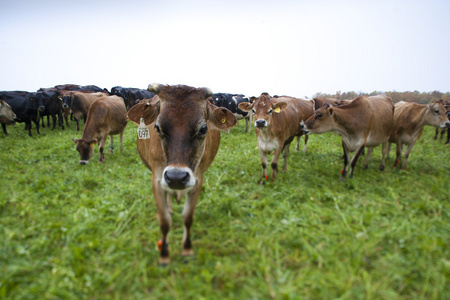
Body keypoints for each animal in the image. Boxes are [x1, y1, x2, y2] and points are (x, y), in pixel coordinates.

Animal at [126, 83, 237, 264]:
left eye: (203, 129)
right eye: (157, 127)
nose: (176, 177)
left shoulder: (197, 180)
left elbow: (188, 217)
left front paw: (187, 249)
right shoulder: (157, 180)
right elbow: (164, 221)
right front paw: (164, 255)